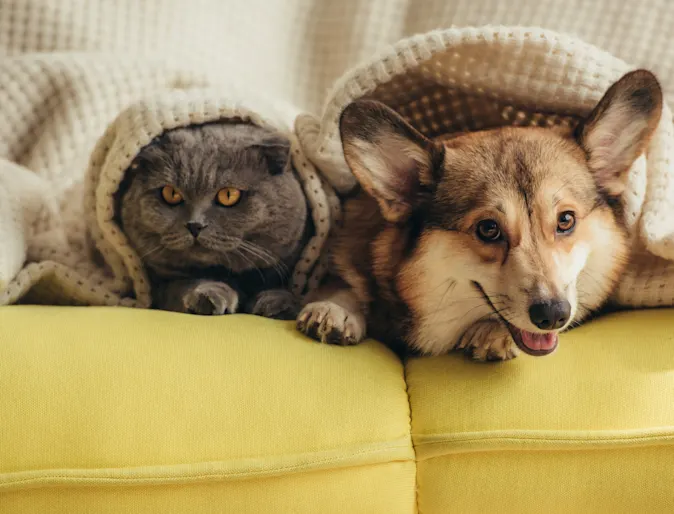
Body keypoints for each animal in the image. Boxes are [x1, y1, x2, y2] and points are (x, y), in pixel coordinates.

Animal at [116, 123, 310, 316]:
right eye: (171, 193)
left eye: (229, 195)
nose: (195, 225)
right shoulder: (159, 285)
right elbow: (181, 284)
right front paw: (210, 294)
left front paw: (279, 303)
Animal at [298, 70, 660, 360]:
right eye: (488, 229)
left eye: (566, 220)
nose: (553, 315)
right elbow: (345, 282)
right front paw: (334, 308)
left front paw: (491, 332)